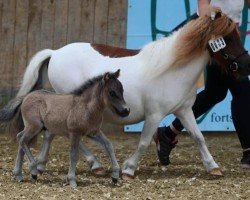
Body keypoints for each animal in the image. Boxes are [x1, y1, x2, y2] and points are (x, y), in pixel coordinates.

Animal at [1, 11, 250, 179]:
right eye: (227, 38)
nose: (245, 66)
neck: (172, 68)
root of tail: (54, 53)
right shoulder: (154, 114)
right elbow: (144, 142)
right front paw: (129, 169)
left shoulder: (184, 110)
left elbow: (199, 138)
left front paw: (213, 167)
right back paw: (94, 165)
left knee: (52, 133)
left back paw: (43, 165)